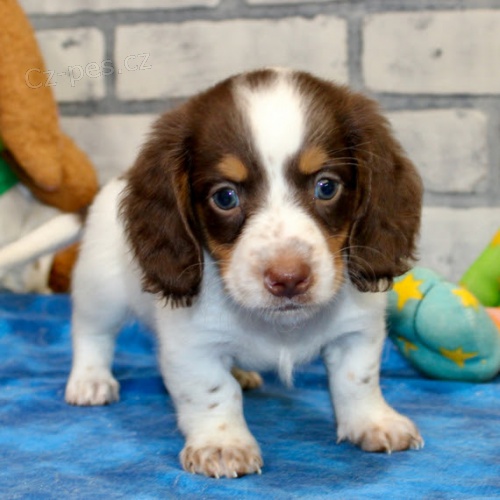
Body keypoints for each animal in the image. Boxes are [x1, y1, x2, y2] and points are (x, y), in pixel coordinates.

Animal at [64, 68, 424, 478]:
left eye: (326, 186)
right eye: (225, 196)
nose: (288, 279)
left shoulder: (357, 332)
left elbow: (357, 380)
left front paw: (374, 422)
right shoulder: (192, 346)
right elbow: (213, 391)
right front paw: (223, 444)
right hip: (99, 289)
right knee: (91, 333)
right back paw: (90, 380)